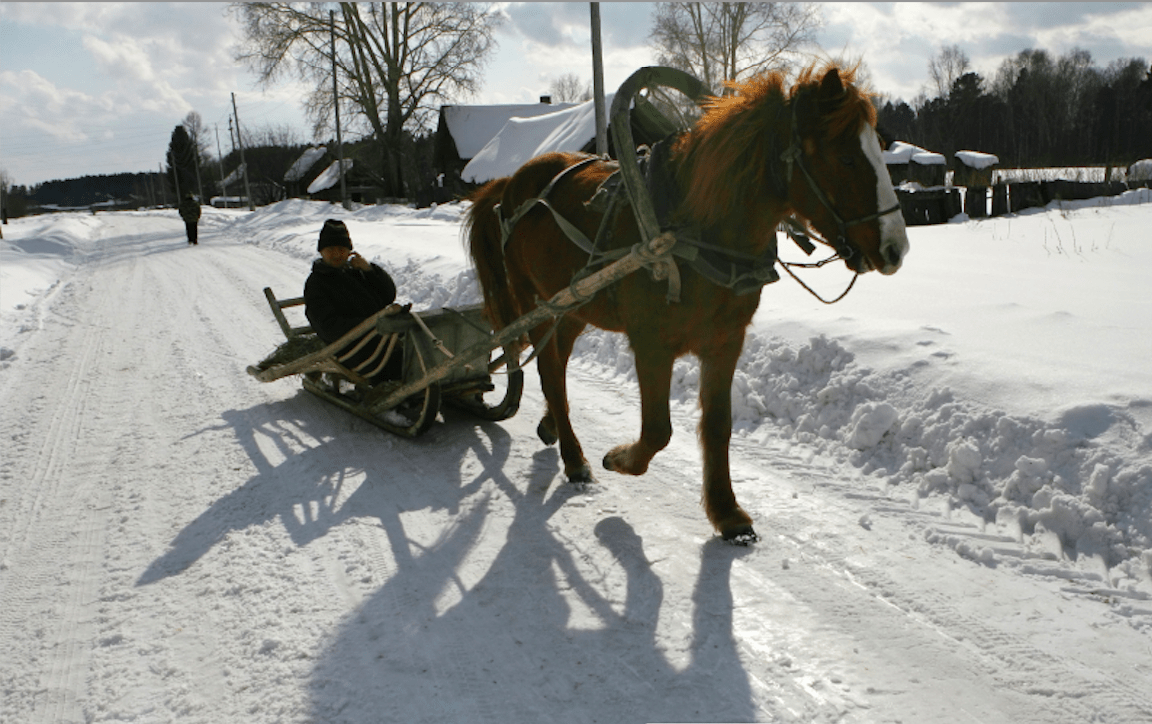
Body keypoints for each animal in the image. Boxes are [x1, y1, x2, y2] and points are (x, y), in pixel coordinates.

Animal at [465, 63, 907, 544]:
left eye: (879, 149)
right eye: (845, 157)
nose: (895, 249)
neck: (693, 227)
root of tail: (511, 184)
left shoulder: (725, 342)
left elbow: (717, 426)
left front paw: (727, 512)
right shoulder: (651, 344)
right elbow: (658, 429)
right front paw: (620, 459)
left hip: (574, 305)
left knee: (557, 365)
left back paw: (553, 426)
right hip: (538, 300)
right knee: (548, 367)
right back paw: (575, 457)